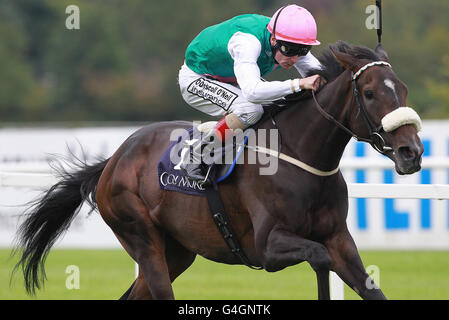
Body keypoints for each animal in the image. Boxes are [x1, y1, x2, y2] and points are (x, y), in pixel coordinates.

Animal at [14, 40, 422, 300]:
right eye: (369, 93)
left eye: (402, 89)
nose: (412, 152)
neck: (301, 156)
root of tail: (113, 160)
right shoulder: (268, 246)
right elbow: (318, 258)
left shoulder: (339, 239)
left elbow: (368, 286)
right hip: (142, 239)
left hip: (177, 251)